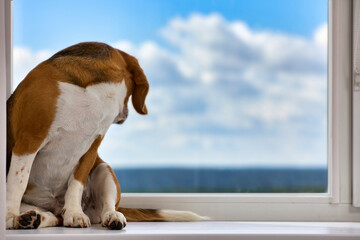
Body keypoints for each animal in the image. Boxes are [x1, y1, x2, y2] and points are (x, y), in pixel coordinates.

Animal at [5, 42, 204, 230]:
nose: (125, 114)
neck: (93, 94)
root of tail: (56, 206)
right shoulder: (30, 140)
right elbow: (17, 183)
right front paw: (9, 215)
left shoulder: (90, 150)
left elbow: (76, 184)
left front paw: (75, 214)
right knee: (50, 215)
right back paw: (29, 218)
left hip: (104, 169)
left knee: (101, 208)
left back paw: (112, 217)